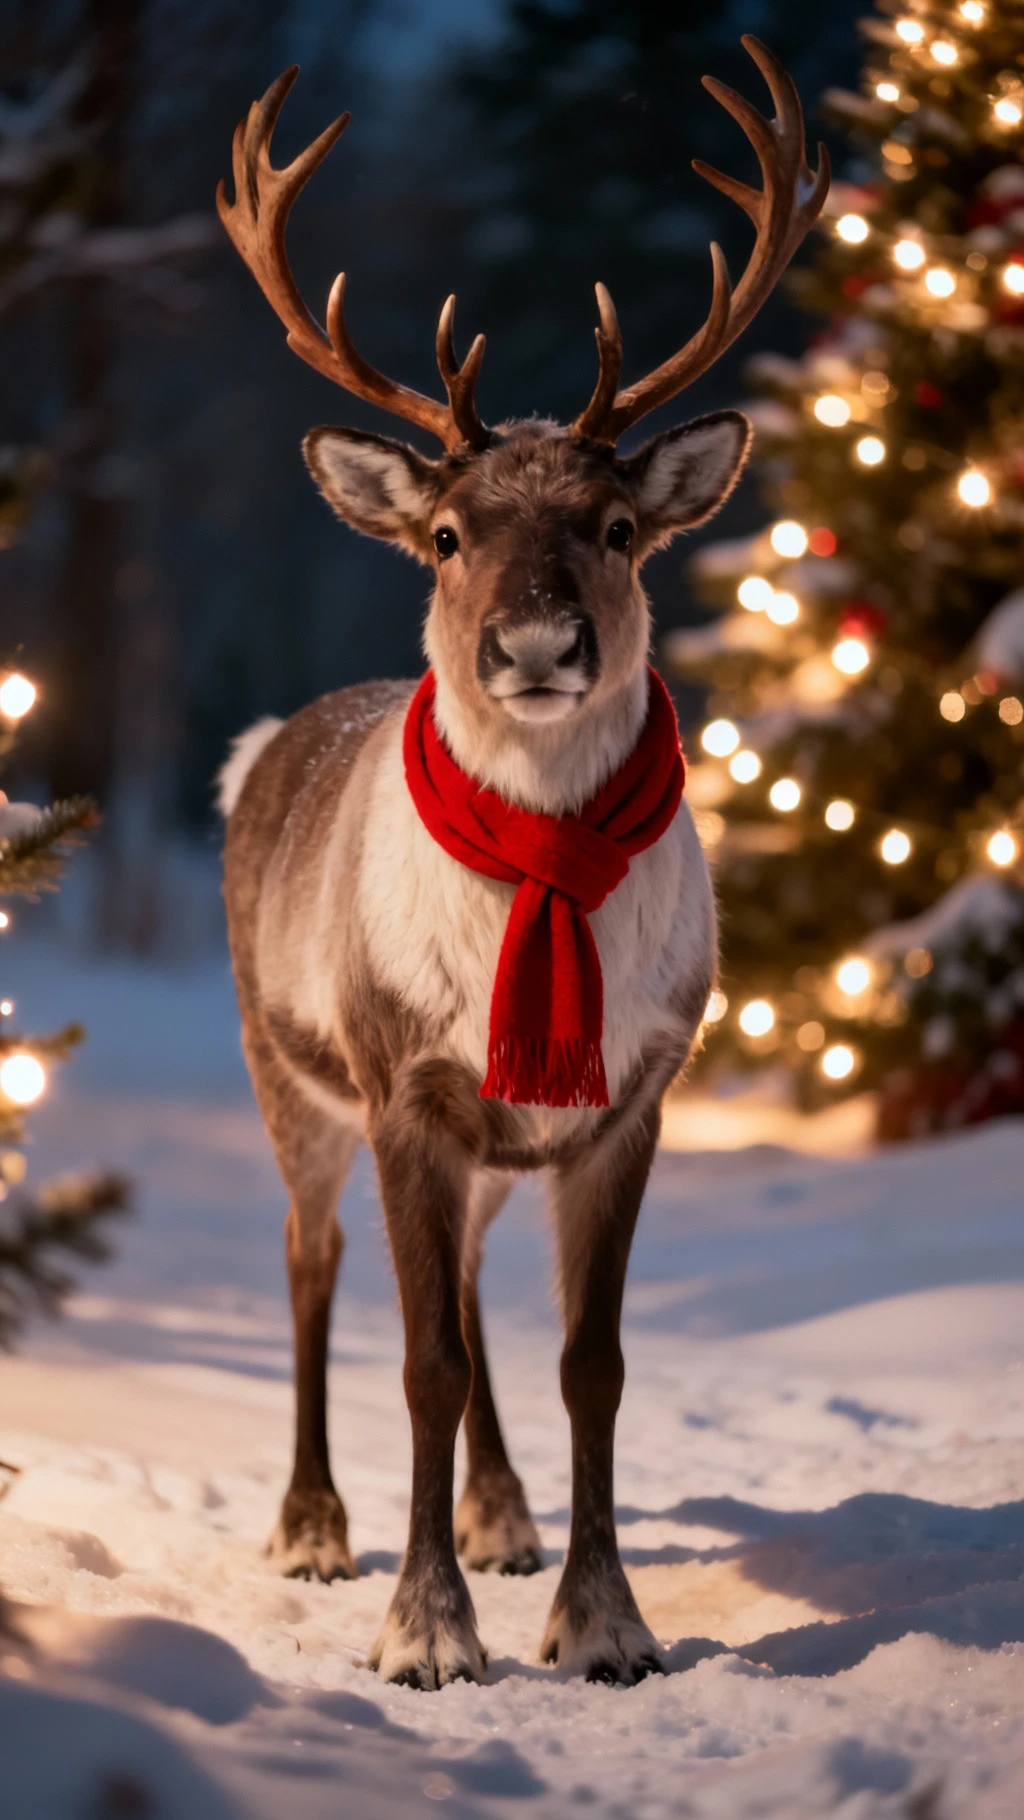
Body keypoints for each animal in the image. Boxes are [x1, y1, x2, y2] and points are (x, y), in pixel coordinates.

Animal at [216, 38, 828, 1690]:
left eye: (617, 525)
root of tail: (259, 749)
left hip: (500, 1149)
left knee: (483, 1295)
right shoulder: (404, 1086)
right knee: (309, 1263)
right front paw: (425, 1630)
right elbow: (419, 1358)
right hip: (291, 1079)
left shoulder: (629, 1097)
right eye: (442, 533)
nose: (539, 645)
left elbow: (591, 1364)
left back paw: (500, 1517)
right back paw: (311, 1528)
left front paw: (603, 1623)